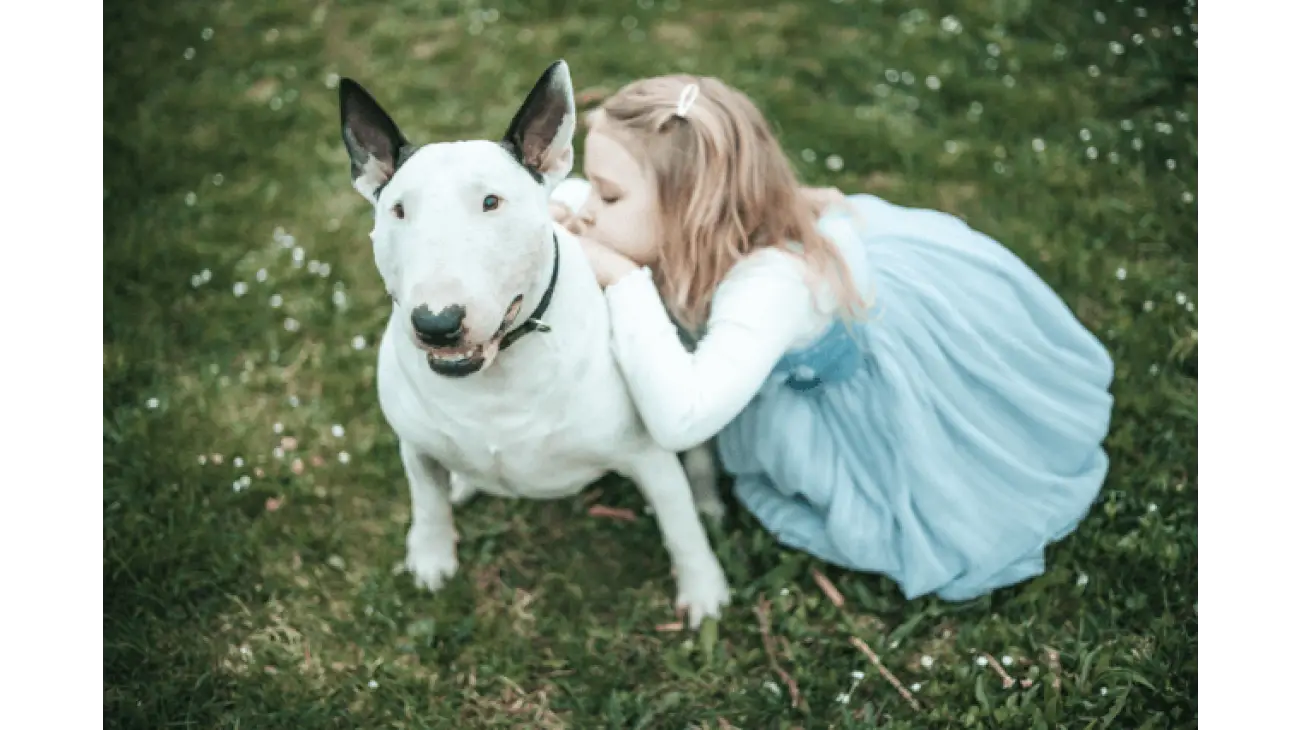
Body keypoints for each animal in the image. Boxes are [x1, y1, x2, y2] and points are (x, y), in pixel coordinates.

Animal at [338, 59, 733, 628]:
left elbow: (680, 528)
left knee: (698, 456)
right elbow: (427, 503)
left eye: (491, 202)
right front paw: (431, 559)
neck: (497, 375)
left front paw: (705, 592)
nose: (437, 323)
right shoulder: (414, 446)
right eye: (398, 211)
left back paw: (709, 504)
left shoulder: (647, 456)